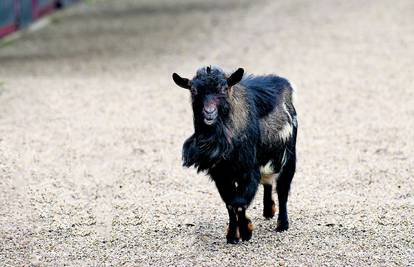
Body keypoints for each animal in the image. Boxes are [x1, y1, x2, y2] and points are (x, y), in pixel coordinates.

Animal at [172, 66, 298, 244]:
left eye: (224, 88)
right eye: (194, 90)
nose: (209, 112)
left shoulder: (249, 170)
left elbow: (239, 203)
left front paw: (246, 231)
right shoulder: (221, 174)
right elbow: (230, 204)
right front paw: (232, 235)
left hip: (289, 157)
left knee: (283, 190)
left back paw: (282, 225)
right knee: (267, 182)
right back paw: (268, 211)